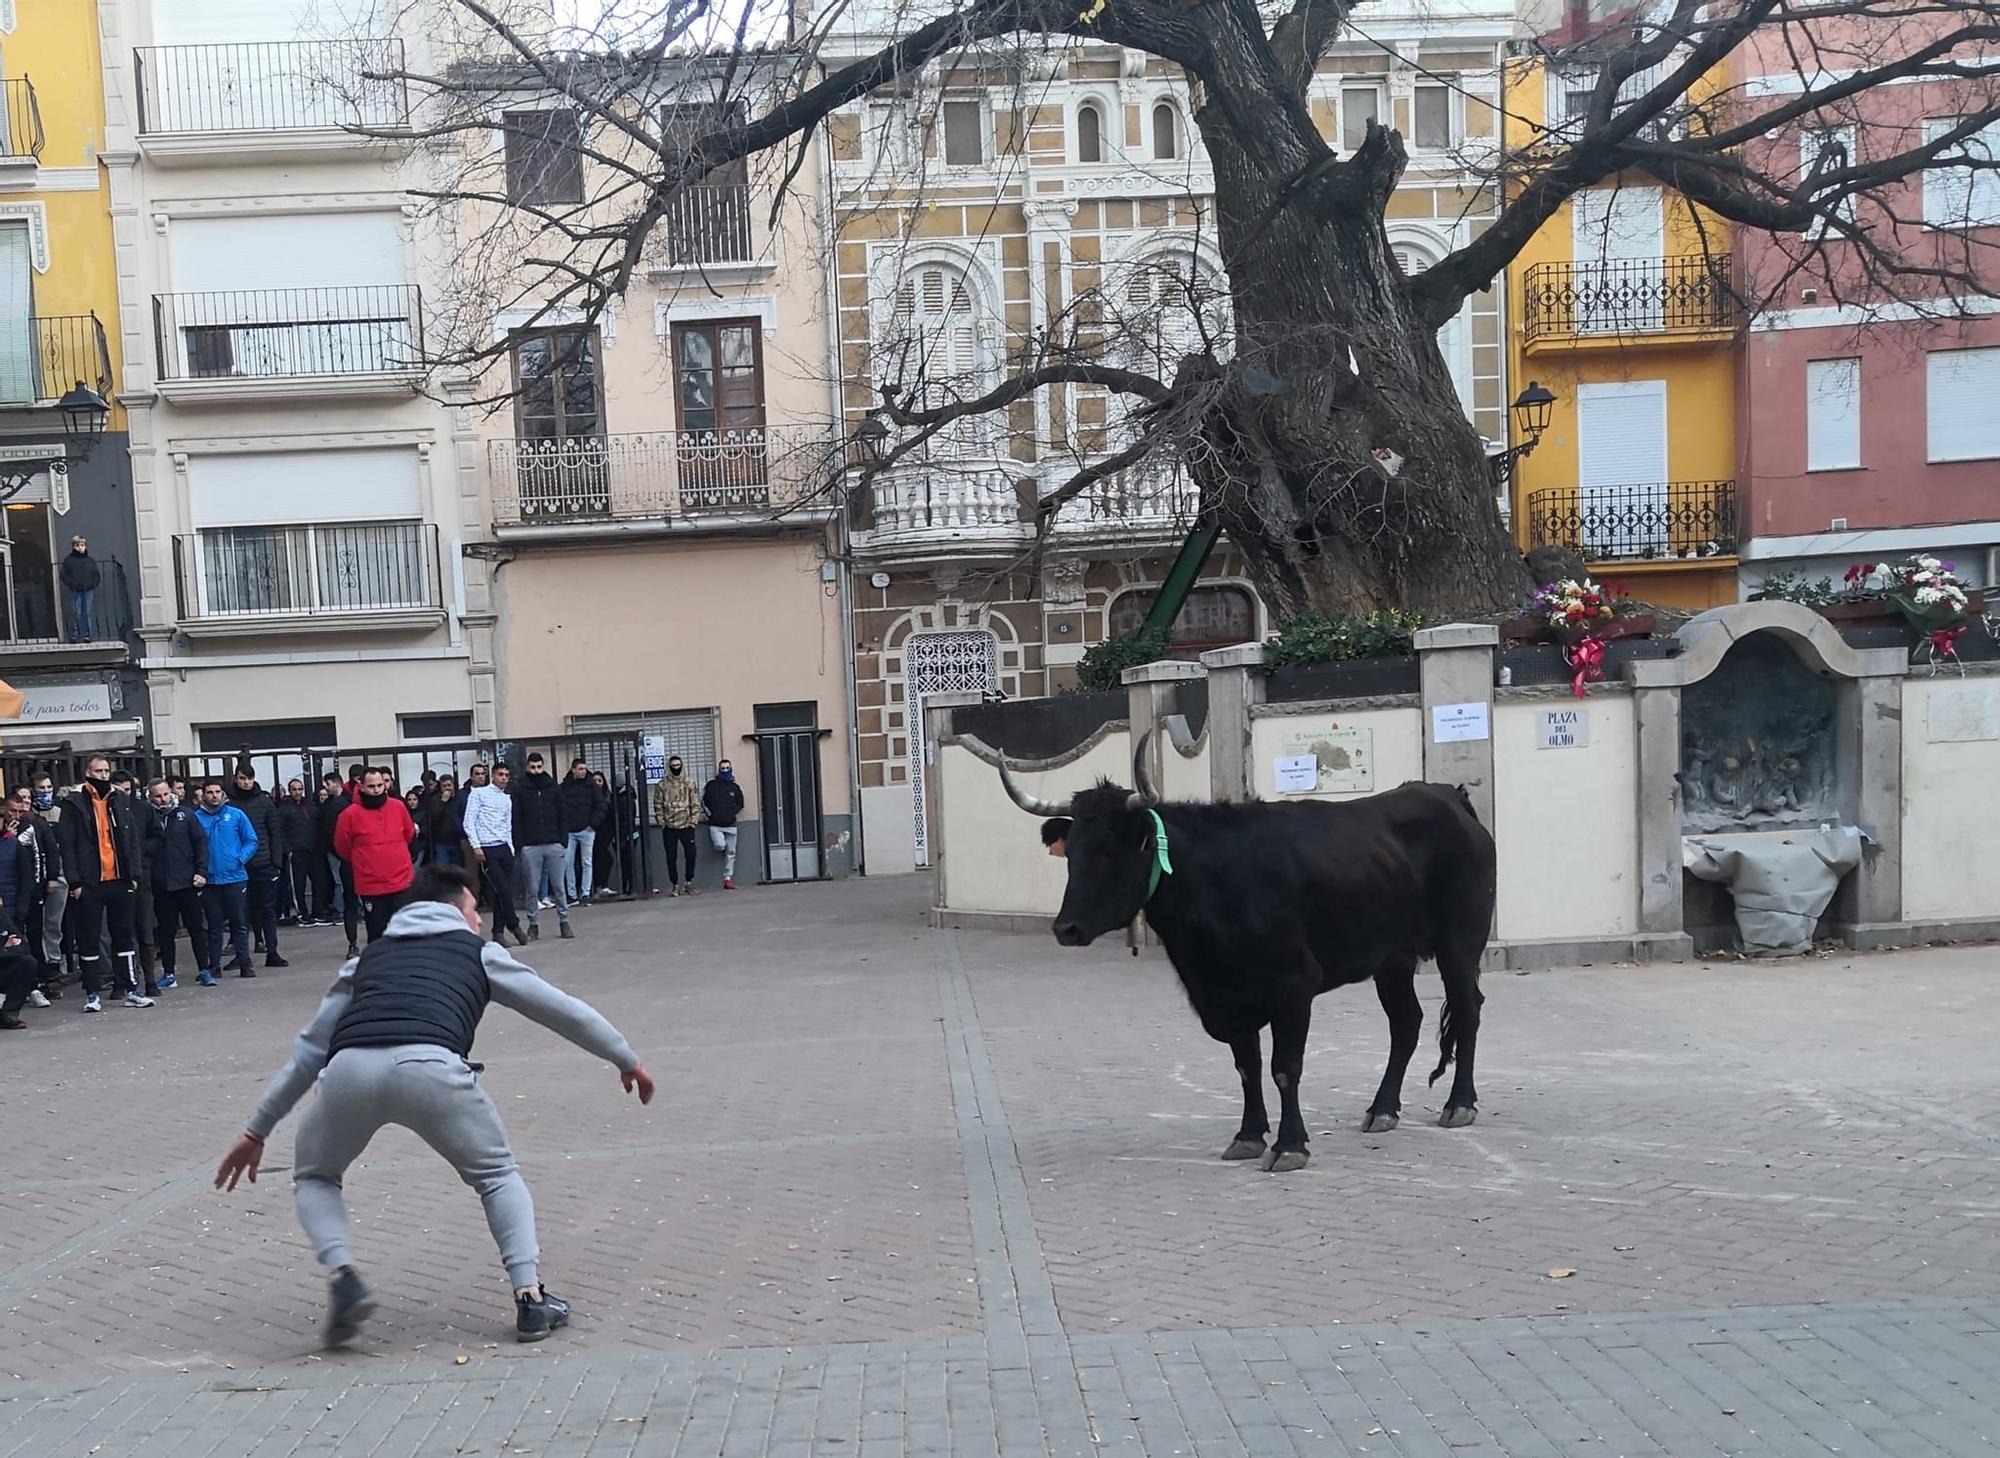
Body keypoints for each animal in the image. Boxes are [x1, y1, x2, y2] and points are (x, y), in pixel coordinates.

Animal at [1008, 744, 1496, 1176]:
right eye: (1071, 853)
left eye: (1111, 851)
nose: (1065, 929)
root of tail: (1445, 795)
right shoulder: (1224, 994)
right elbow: (1247, 1067)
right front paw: (1248, 1136)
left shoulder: (1293, 985)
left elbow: (1285, 1068)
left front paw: (1290, 1146)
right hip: (1392, 958)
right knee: (1406, 1022)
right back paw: (1382, 1109)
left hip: (1459, 943)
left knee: (1467, 1011)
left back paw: (1459, 1104)